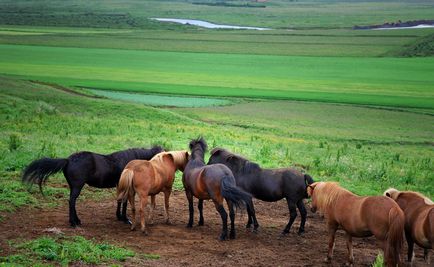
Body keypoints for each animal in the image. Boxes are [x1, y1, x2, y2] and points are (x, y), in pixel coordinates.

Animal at [21, 146, 163, 227]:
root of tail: (68, 160)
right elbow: (124, 202)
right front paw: (125, 219)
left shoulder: (120, 186)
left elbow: (119, 200)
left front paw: (119, 217)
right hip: (77, 186)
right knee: (72, 201)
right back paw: (74, 223)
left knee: (72, 201)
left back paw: (76, 221)